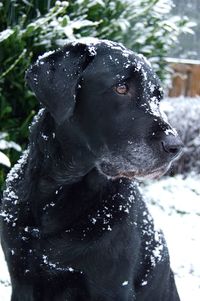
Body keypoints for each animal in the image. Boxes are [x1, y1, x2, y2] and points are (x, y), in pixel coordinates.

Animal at [0, 38, 182, 298]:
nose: (175, 146)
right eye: (121, 88)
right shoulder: (22, 279)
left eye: (157, 98)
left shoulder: (112, 287)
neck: (60, 189)